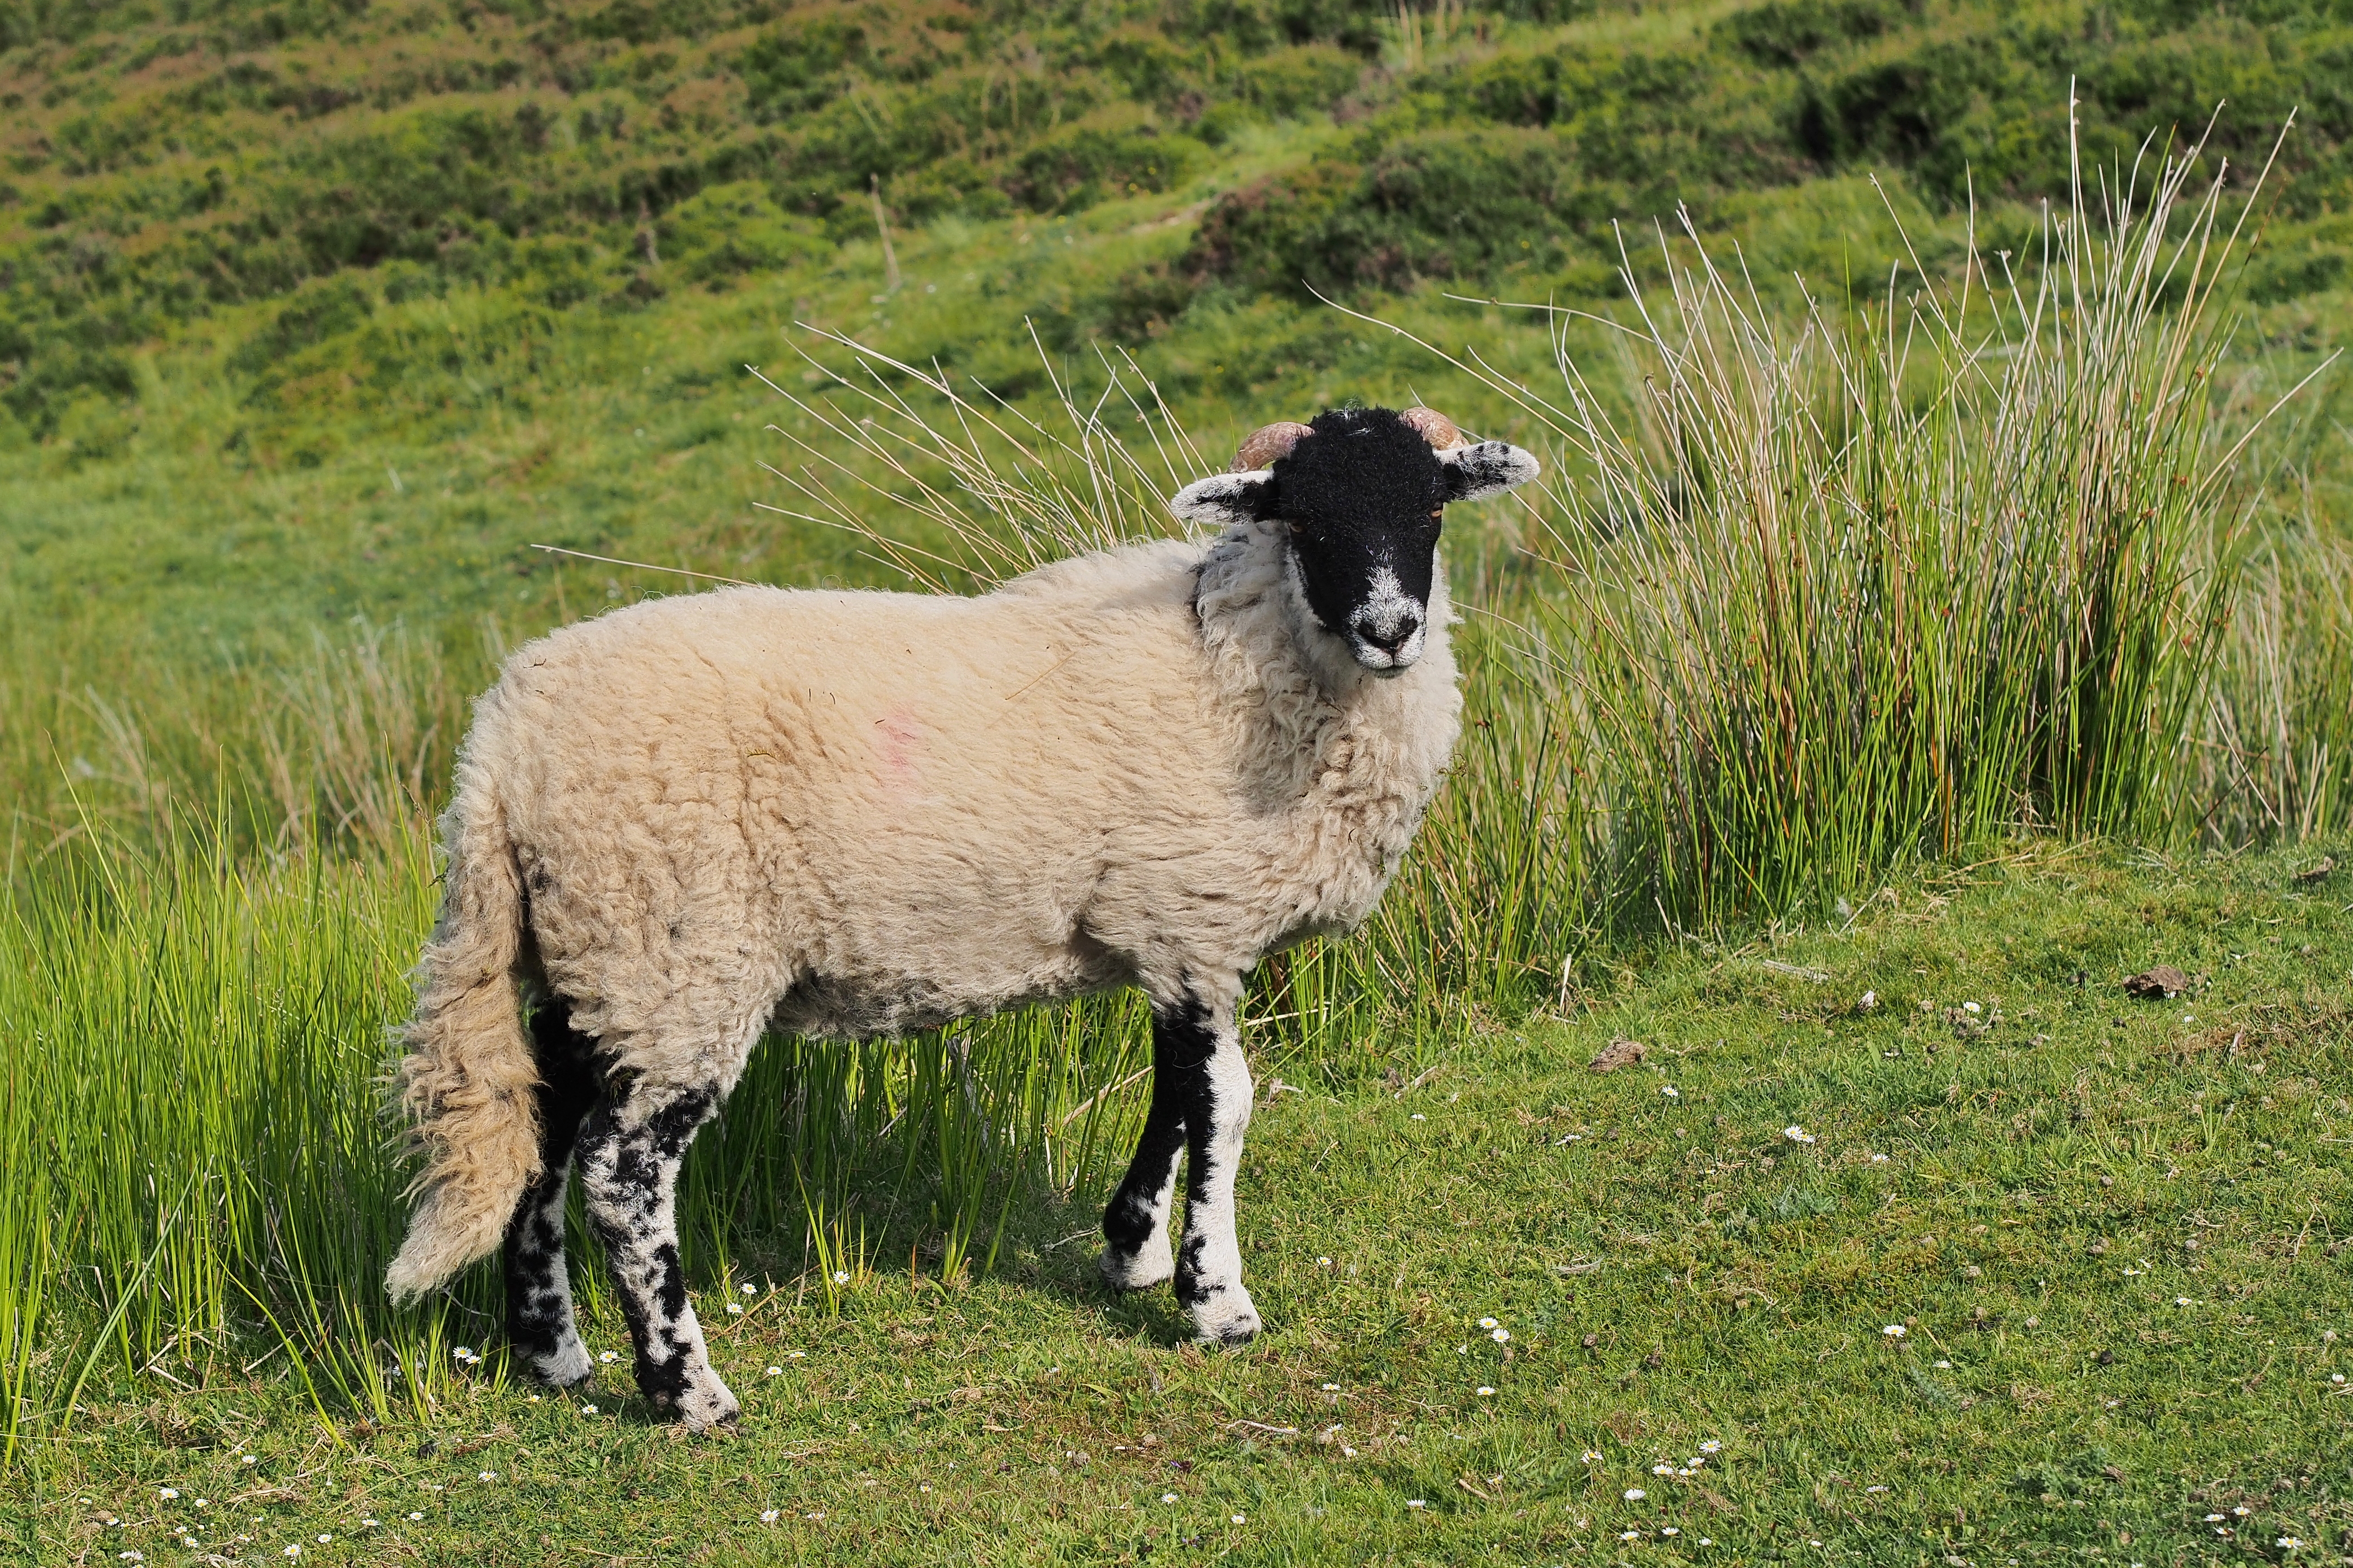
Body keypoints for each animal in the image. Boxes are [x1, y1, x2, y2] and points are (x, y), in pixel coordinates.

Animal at [385, 404, 1540, 1428]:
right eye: (1303, 520)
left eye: (1431, 509)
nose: (1391, 630)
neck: (1232, 660)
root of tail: (498, 751)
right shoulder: (1195, 918)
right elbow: (1225, 1106)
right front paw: (1216, 1301)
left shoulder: (1164, 932)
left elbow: (1176, 1097)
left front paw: (1133, 1249)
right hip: (675, 952)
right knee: (623, 1174)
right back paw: (687, 1390)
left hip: (592, 956)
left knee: (542, 1124)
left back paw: (553, 1350)